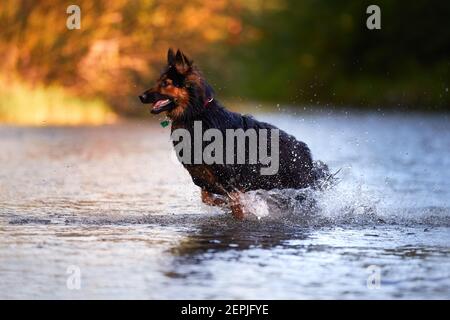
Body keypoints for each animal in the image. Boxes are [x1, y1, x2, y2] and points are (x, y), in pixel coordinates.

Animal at [139, 48, 328, 219]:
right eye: (158, 81)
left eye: (166, 83)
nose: (141, 97)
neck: (196, 114)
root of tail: (306, 153)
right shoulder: (205, 179)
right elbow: (208, 198)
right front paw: (229, 205)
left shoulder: (231, 179)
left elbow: (235, 203)